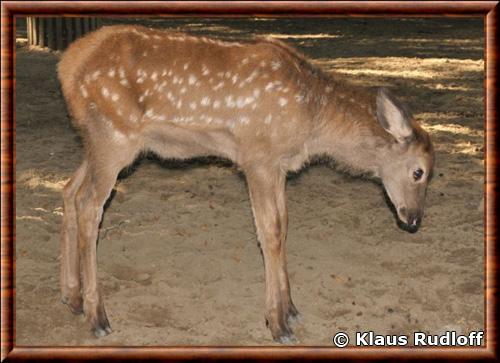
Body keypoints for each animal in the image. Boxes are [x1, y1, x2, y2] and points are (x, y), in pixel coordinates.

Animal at [57, 25, 434, 344]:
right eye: (420, 172)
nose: (413, 219)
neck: (311, 121)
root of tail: (67, 67)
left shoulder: (279, 166)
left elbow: (284, 225)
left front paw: (291, 310)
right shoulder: (257, 156)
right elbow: (270, 232)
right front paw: (277, 324)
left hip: (96, 142)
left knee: (69, 189)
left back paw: (71, 297)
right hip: (113, 135)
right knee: (89, 205)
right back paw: (98, 317)